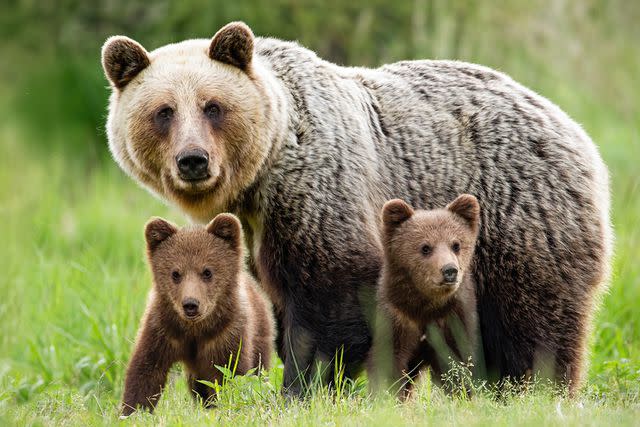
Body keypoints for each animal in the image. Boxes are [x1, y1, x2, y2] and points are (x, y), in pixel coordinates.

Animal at [121, 216, 274, 416]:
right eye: (175, 273)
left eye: (207, 271)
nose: (191, 304)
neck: (195, 329)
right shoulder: (162, 329)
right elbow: (145, 371)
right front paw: (133, 411)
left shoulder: (226, 335)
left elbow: (230, 373)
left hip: (260, 332)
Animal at [370, 196, 480, 400]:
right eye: (425, 247)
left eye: (456, 244)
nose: (449, 270)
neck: (425, 308)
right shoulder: (398, 318)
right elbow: (389, 362)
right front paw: (387, 395)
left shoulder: (452, 319)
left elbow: (457, 363)